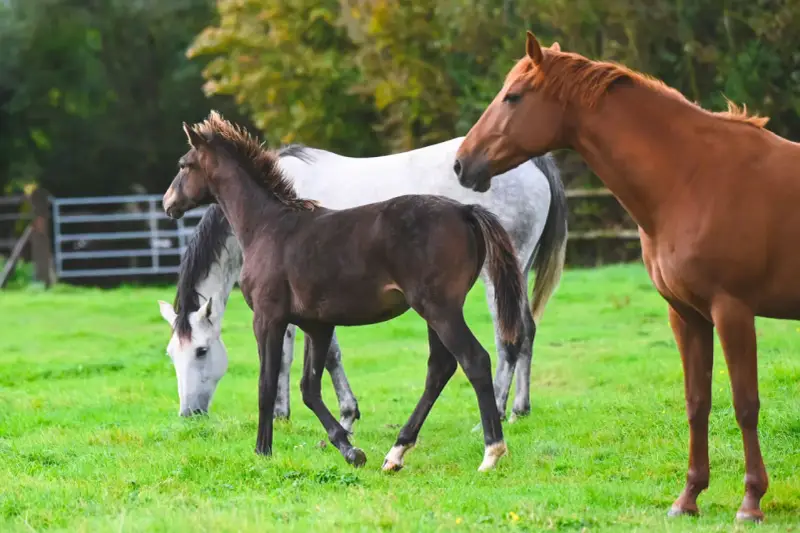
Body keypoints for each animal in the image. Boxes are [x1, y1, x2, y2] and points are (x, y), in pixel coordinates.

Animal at [162, 111, 532, 472]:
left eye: (183, 164)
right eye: (170, 354)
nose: (168, 203)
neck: (267, 226)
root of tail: (465, 211)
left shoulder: (268, 318)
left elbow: (267, 383)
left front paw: (263, 451)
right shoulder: (317, 325)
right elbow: (309, 387)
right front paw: (349, 449)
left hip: (440, 309)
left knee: (474, 360)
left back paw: (491, 451)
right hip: (436, 312)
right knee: (440, 368)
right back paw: (396, 453)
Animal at [454, 31, 800, 522]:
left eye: (514, 96)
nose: (462, 164)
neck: (692, 178)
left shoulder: (733, 312)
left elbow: (745, 403)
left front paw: (751, 501)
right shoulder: (687, 316)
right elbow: (697, 403)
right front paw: (689, 497)